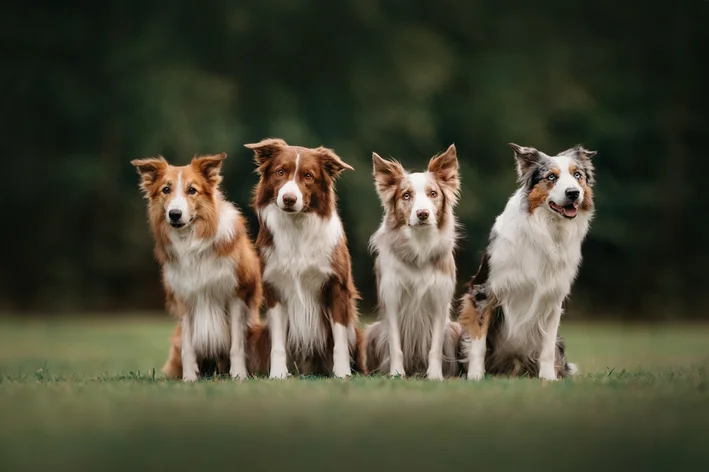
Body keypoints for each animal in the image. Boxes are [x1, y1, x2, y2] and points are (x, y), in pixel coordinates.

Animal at [131, 153, 262, 382]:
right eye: (166, 189)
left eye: (192, 190)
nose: (174, 214)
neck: (192, 240)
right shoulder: (185, 299)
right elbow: (188, 346)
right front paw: (189, 378)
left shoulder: (235, 295)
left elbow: (236, 345)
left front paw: (239, 375)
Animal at [245, 138, 366, 378]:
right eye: (280, 171)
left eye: (309, 176)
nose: (289, 199)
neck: (297, 227)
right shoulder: (274, 288)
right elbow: (278, 343)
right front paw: (278, 374)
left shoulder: (337, 287)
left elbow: (340, 340)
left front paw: (342, 373)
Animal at [362, 145, 462, 380]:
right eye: (406, 195)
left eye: (433, 194)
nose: (422, 214)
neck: (420, 247)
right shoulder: (392, 297)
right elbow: (395, 344)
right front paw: (397, 374)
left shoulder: (440, 299)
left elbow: (435, 347)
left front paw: (435, 376)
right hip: (372, 330)